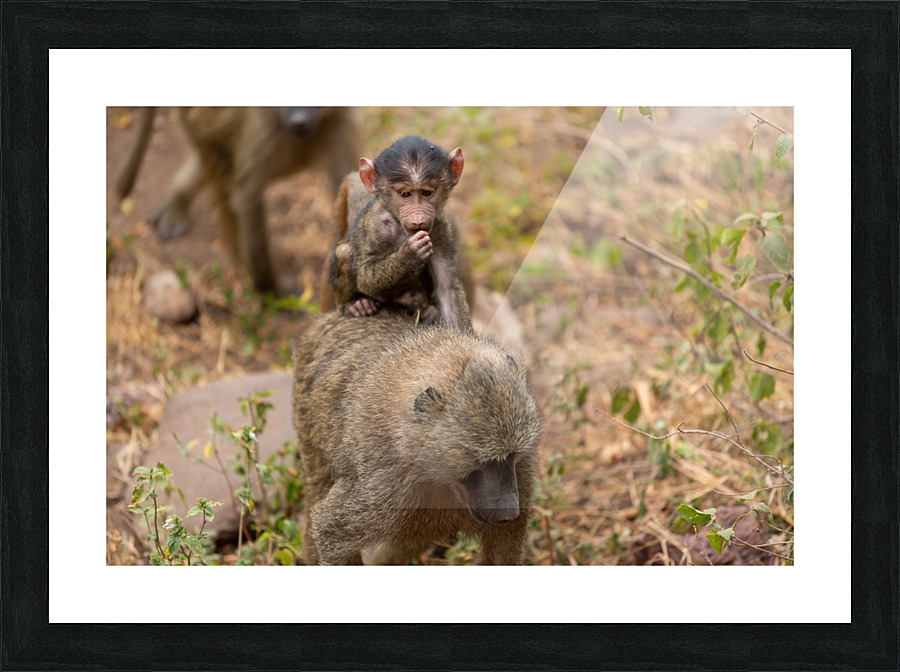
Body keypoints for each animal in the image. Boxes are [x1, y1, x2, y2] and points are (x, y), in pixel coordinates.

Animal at [115, 106, 359, 294]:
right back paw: (243, 272)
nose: (299, 120)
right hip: (196, 120)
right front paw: (271, 291)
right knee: (223, 177)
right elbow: (248, 200)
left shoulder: (341, 123)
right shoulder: (259, 131)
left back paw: (176, 203)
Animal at [324, 135, 472, 331]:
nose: (418, 219)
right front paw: (410, 253)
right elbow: (366, 278)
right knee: (345, 252)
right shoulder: (377, 226)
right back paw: (355, 304)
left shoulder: (441, 228)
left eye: (427, 192)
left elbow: (447, 289)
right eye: (405, 194)